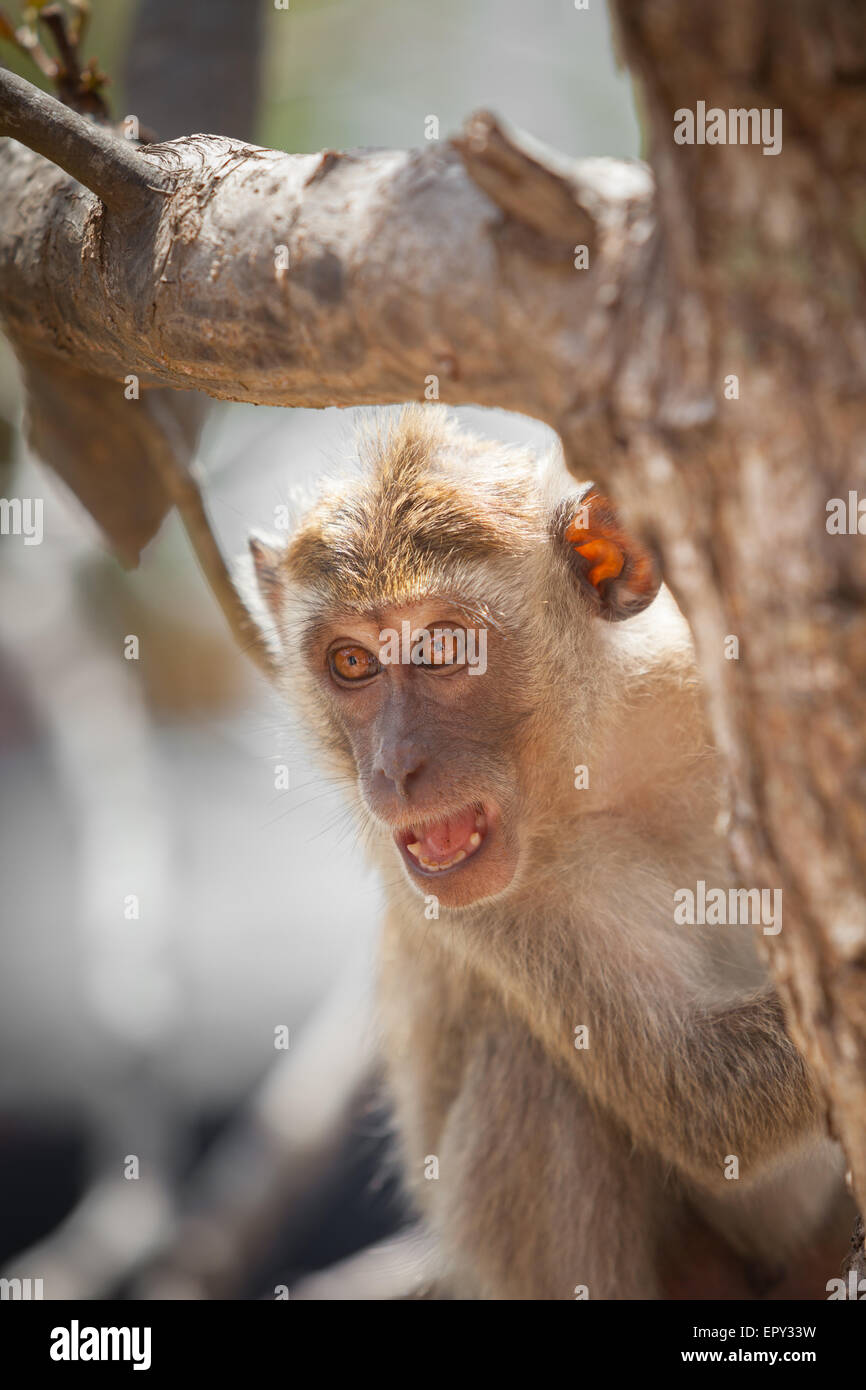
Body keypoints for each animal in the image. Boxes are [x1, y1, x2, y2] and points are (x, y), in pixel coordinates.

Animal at [247, 405, 850, 1295]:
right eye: (351, 662)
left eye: (440, 650)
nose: (392, 768)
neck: (601, 763)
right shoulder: (476, 897)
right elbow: (701, 1093)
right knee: (531, 1073)